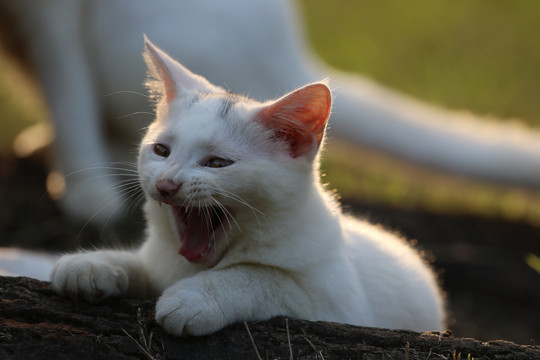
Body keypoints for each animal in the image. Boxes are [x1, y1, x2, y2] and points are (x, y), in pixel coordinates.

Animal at [50, 38, 446, 336]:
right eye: (161, 150)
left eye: (217, 163)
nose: (166, 184)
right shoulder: (161, 263)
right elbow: (142, 266)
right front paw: (93, 266)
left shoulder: (334, 304)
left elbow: (260, 276)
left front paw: (195, 299)